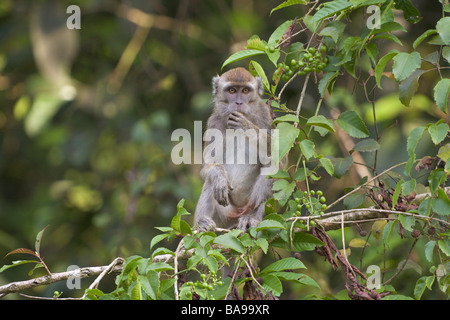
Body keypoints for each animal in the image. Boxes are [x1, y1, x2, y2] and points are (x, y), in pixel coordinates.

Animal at [194, 67, 282, 231]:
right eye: (232, 90)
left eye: (245, 90)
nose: (239, 102)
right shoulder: (214, 122)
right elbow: (208, 167)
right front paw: (218, 175)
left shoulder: (264, 115)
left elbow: (279, 157)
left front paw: (245, 124)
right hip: (224, 216)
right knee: (211, 180)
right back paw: (201, 223)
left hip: (250, 205)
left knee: (273, 167)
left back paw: (253, 218)